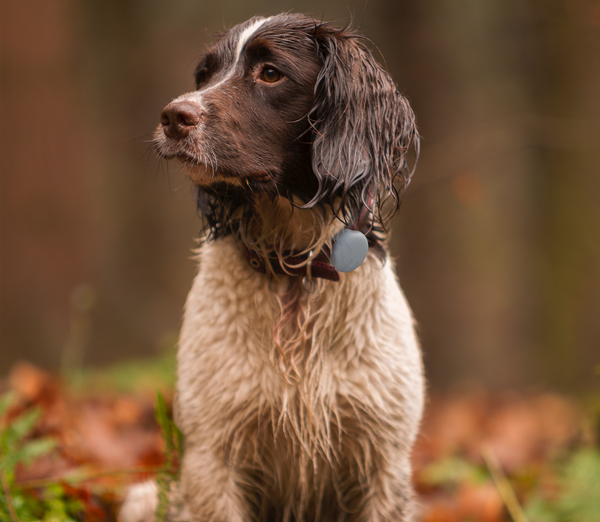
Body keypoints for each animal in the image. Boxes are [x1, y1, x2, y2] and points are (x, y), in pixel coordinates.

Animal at [119, 11, 424, 520]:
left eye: (270, 73)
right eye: (204, 74)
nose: (173, 116)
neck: (294, 273)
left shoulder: (384, 456)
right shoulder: (213, 455)